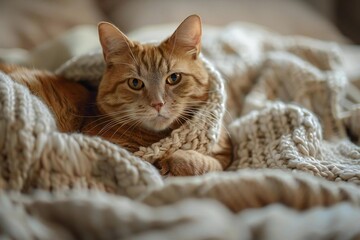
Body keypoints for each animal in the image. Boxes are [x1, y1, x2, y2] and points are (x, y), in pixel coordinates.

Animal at [0, 15, 232, 176]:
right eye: (135, 83)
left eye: (174, 78)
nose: (158, 103)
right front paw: (170, 161)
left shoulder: (225, 155)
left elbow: (210, 162)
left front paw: (177, 160)